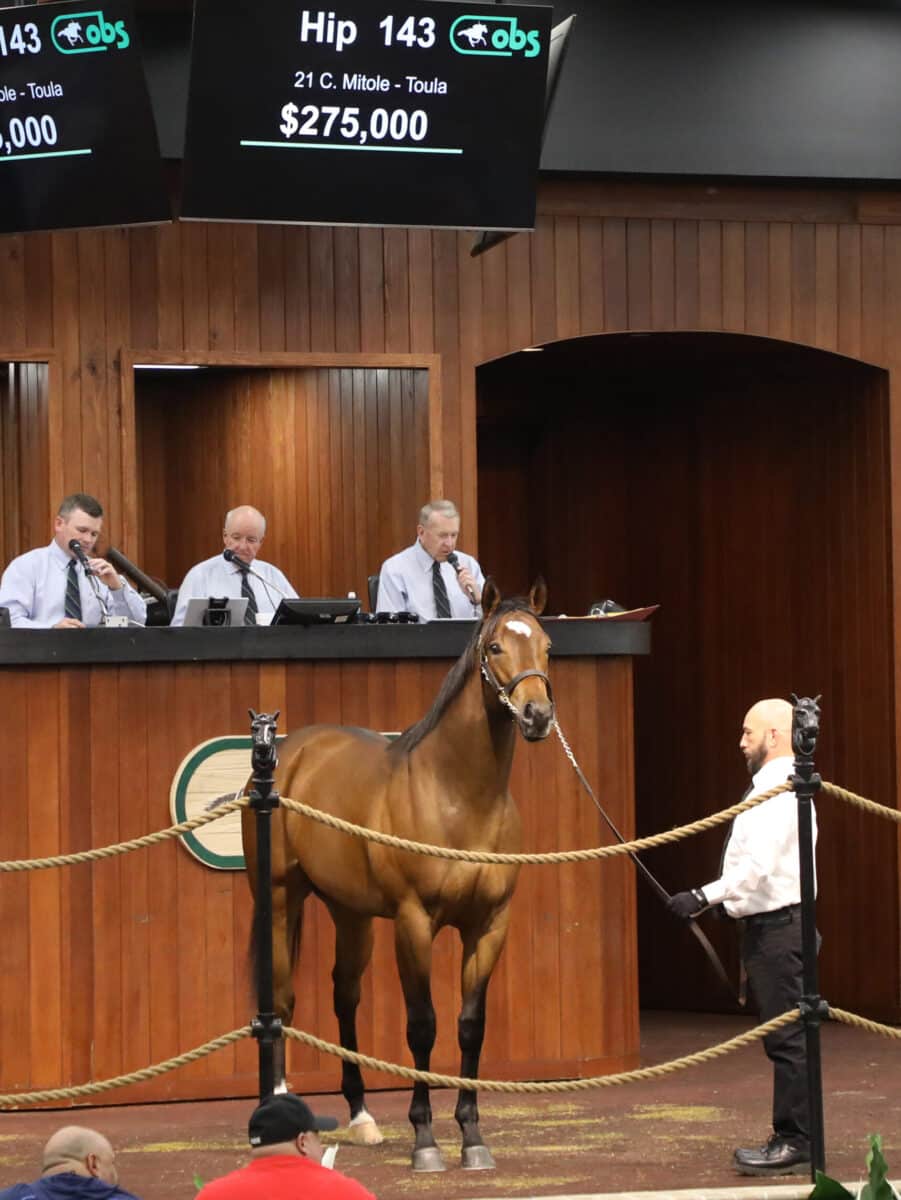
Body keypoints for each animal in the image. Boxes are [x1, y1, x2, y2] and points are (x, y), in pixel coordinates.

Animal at [243, 580, 561, 1171]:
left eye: (548, 646)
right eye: (495, 648)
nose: (536, 715)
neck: (459, 795)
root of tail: (286, 755)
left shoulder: (489, 926)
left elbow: (470, 1026)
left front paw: (472, 1137)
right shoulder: (414, 923)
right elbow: (422, 1026)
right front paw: (426, 1140)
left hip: (351, 914)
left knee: (344, 996)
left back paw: (362, 1116)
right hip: (278, 900)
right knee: (281, 998)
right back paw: (277, 1102)